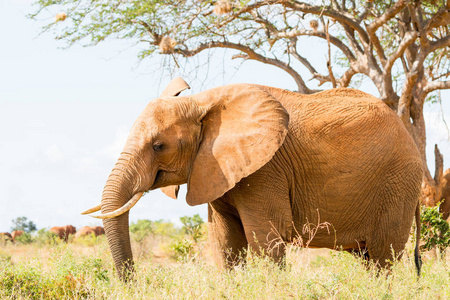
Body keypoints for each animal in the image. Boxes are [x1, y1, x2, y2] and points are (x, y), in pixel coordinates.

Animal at [82, 78, 424, 280]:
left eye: (158, 146)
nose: (131, 283)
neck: (203, 101)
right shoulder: (216, 169)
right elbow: (226, 244)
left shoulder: (266, 170)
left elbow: (265, 240)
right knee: (369, 257)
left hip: (397, 184)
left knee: (382, 257)